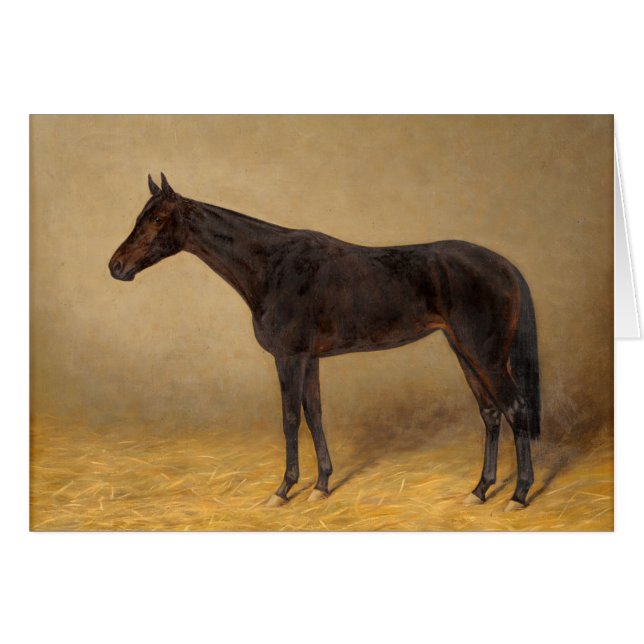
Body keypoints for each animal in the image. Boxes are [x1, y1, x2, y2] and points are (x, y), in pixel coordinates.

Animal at [109, 173, 541, 511]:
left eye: (158, 218)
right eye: (139, 217)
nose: (116, 266)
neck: (273, 266)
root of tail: (506, 266)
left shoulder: (289, 357)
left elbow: (290, 418)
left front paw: (283, 490)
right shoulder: (310, 358)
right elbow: (315, 414)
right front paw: (321, 486)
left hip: (484, 356)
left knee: (515, 409)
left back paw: (518, 495)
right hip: (464, 352)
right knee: (490, 413)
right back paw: (479, 490)